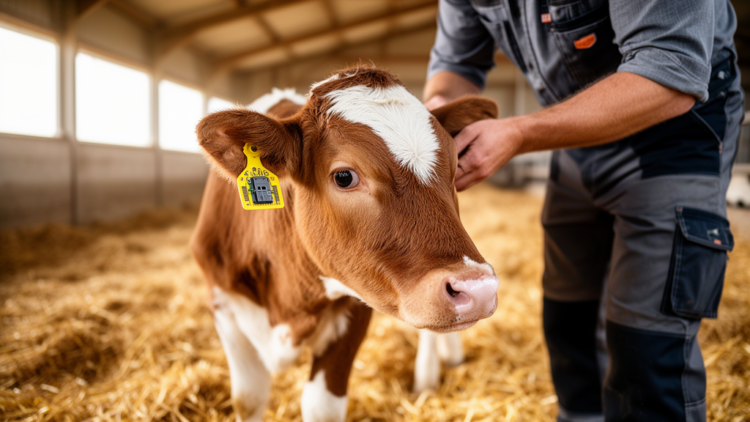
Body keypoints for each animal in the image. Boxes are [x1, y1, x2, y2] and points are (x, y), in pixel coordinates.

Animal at [190, 67, 499, 422]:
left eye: (456, 166)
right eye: (344, 177)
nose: (479, 289)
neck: (290, 305)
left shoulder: (357, 302)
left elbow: (322, 406)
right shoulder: (221, 303)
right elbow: (248, 398)